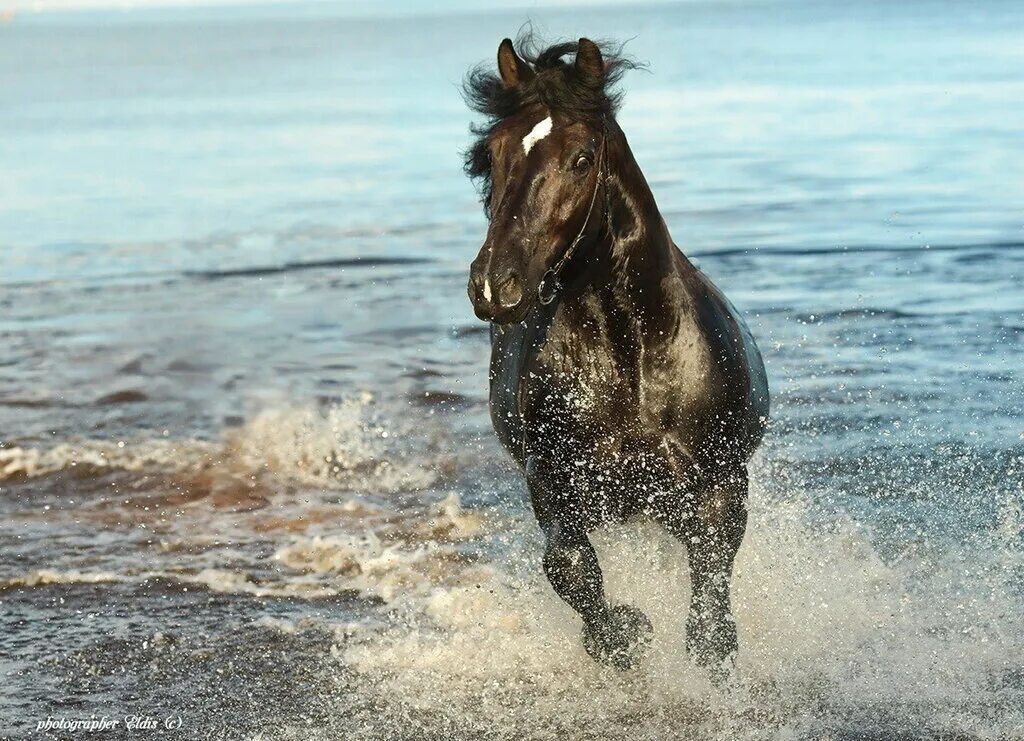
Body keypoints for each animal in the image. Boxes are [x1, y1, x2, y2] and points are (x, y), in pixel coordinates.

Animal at [464, 36, 770, 671]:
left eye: (582, 159)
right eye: (495, 152)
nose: (494, 284)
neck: (632, 362)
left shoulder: (720, 483)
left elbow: (711, 598)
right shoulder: (553, 484)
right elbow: (571, 568)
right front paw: (628, 635)